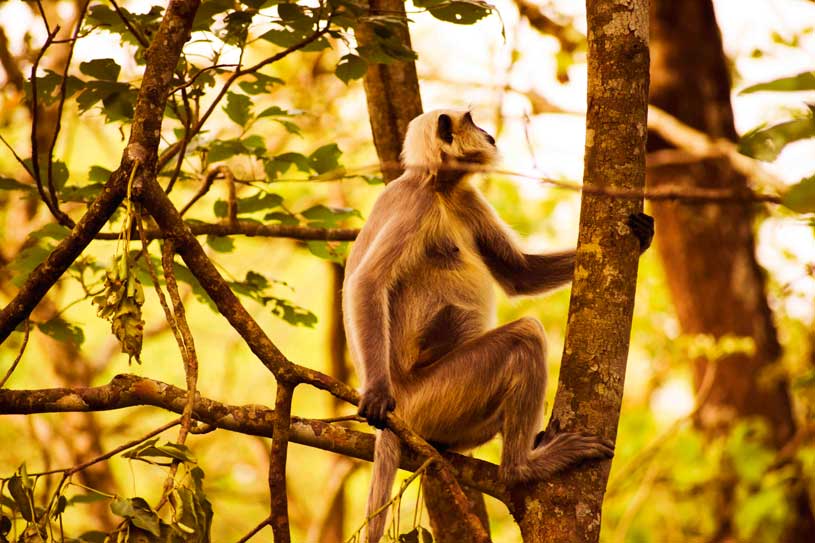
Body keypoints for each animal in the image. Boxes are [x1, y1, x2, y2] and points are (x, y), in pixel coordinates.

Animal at [344, 108, 656, 540]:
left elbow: (519, 275)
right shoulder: (415, 203)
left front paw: (642, 236)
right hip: (431, 396)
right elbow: (368, 282)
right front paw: (374, 394)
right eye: (472, 122)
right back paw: (521, 467)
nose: (489, 135)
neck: (440, 188)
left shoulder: (467, 198)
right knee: (524, 338)